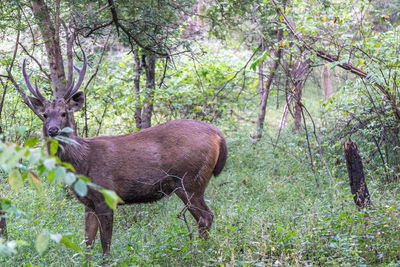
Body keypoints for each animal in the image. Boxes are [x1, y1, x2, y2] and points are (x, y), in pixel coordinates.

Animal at [22, 51, 228, 256]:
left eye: (64, 113)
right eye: (45, 115)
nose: (53, 130)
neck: (81, 163)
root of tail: (218, 135)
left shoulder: (106, 196)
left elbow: (105, 246)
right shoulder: (88, 203)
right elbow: (87, 244)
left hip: (190, 179)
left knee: (206, 217)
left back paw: (200, 253)